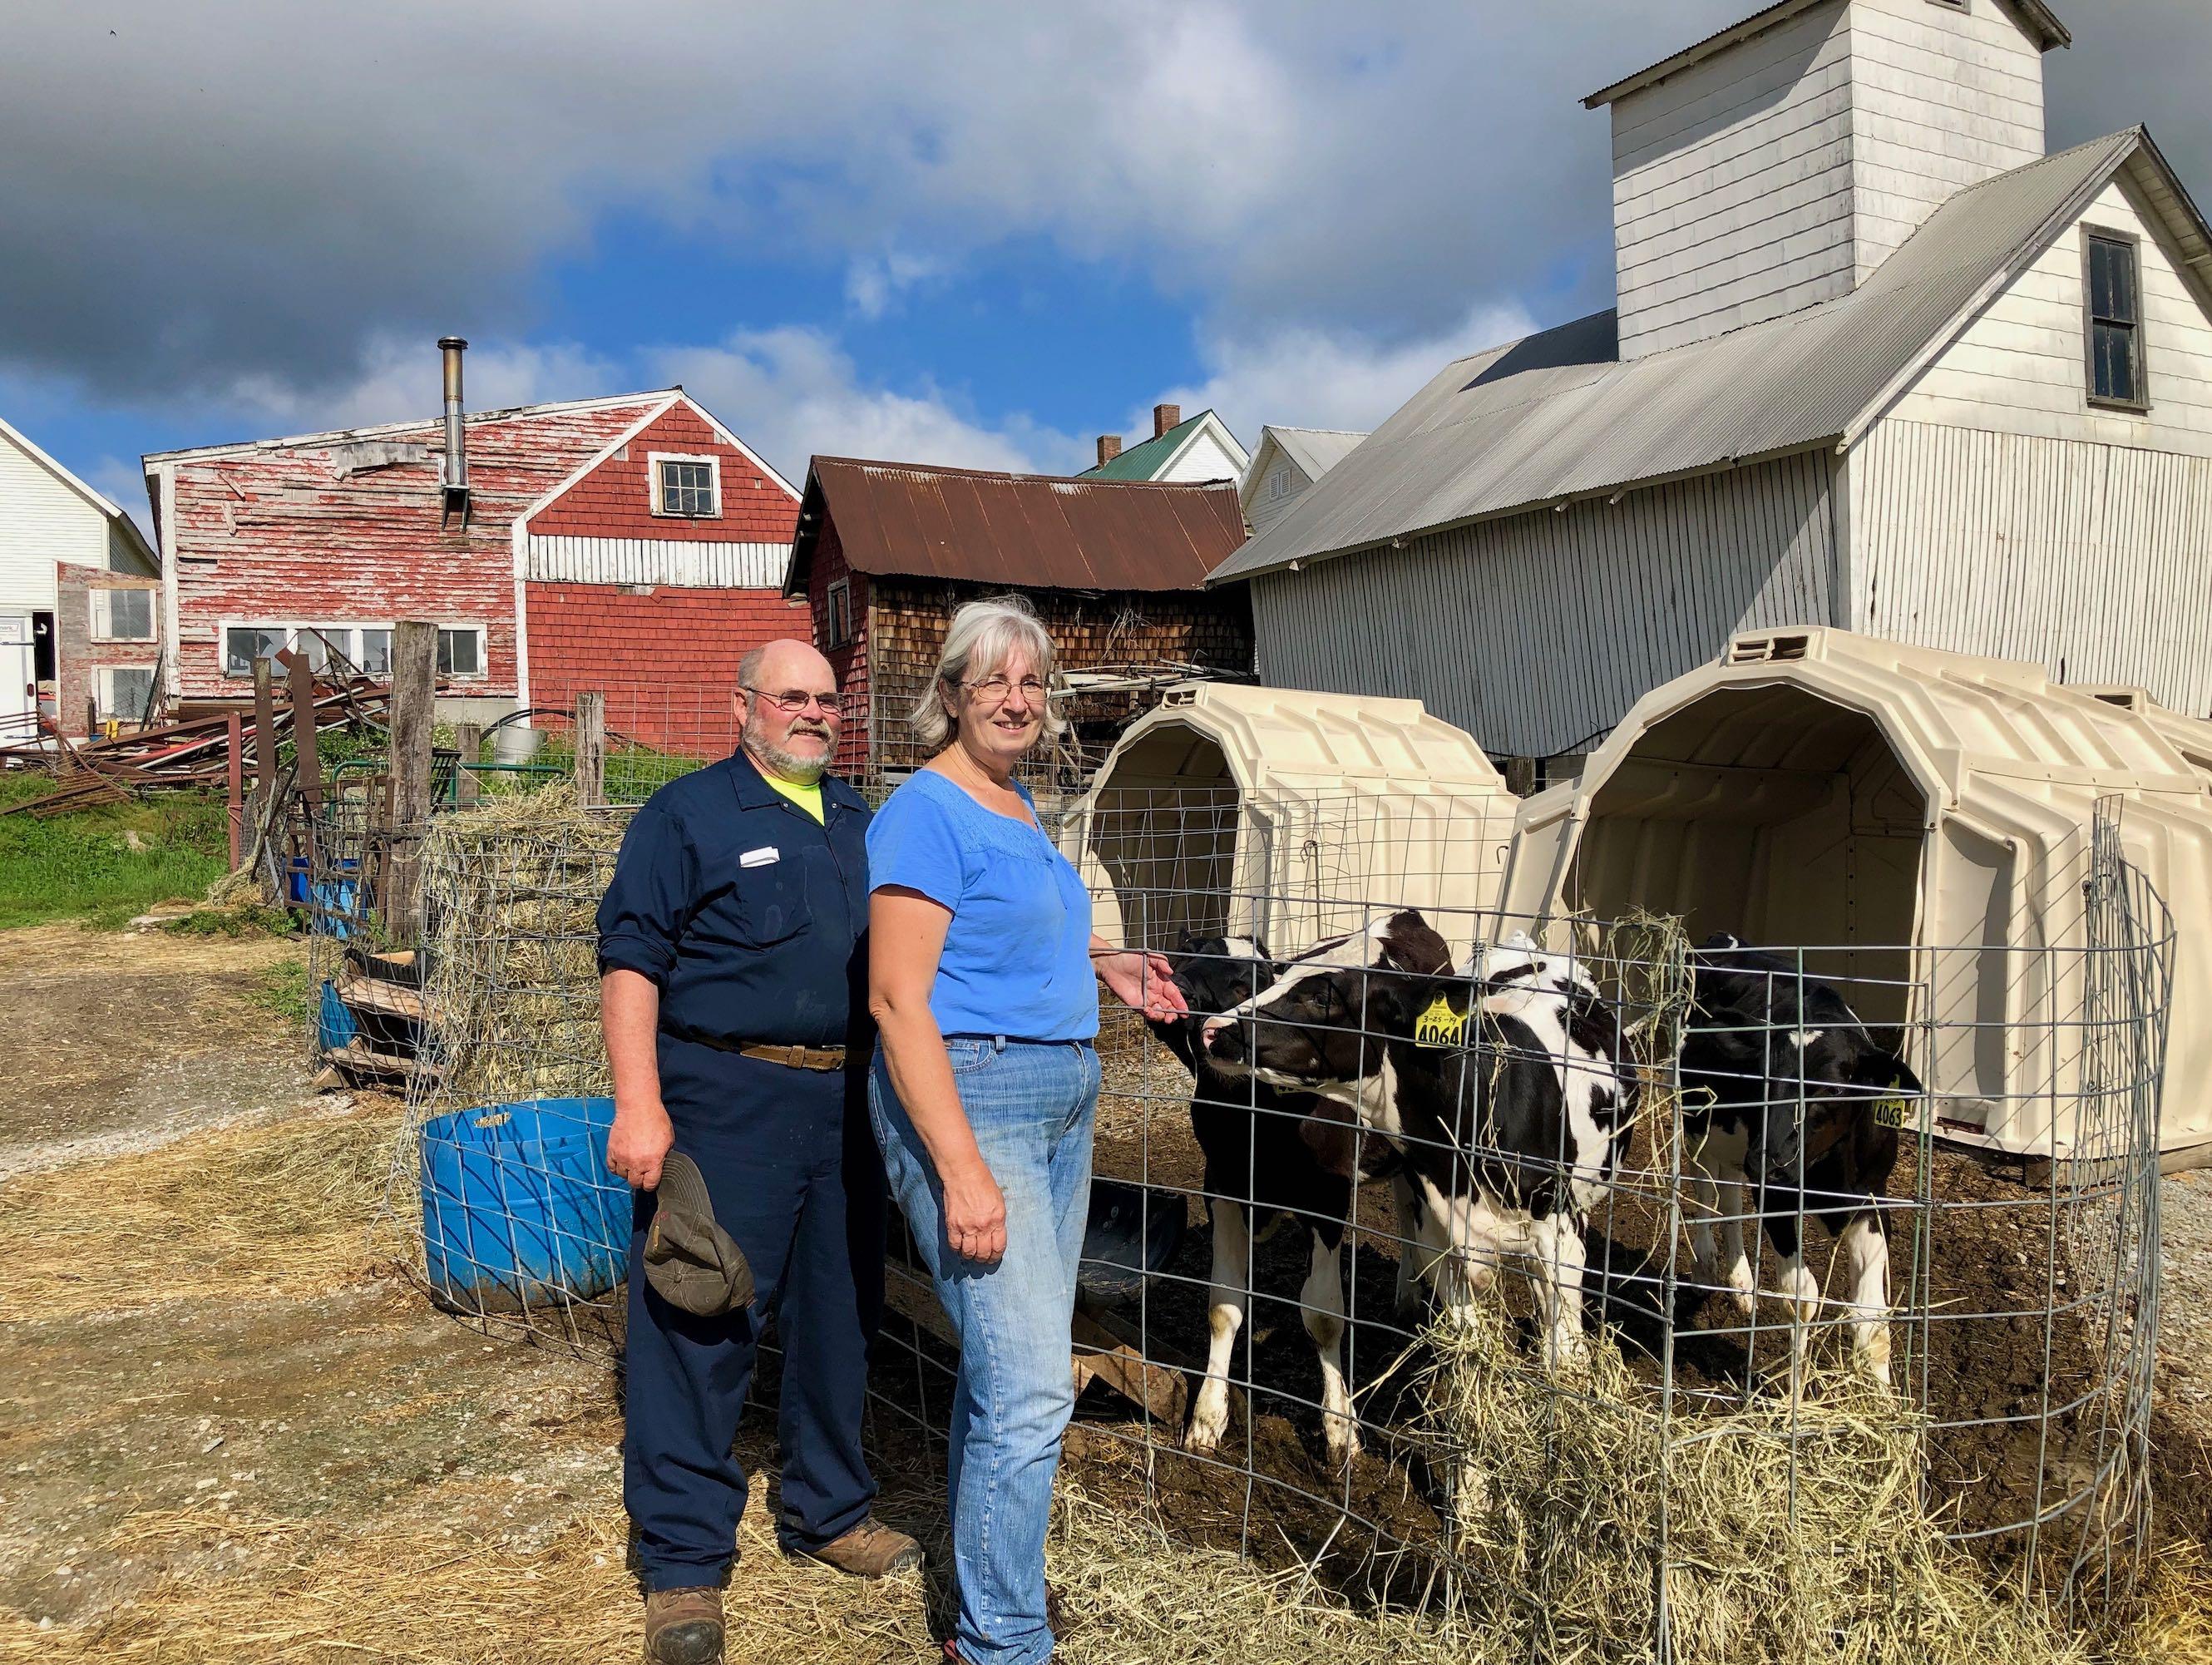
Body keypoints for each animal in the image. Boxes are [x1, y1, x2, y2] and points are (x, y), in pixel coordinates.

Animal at [1141, 941, 1380, 1459]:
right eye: (1189, 958)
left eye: (1243, 984)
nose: (1178, 988)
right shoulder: (1222, 1186)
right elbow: (1224, 1304)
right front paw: (1208, 1415)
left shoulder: (1328, 1199)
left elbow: (1324, 1314)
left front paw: (1340, 1428)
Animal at [1203, 911, 1637, 1361]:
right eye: (1281, 973)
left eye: (1322, 998)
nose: (1214, 1030)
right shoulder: (1439, 1237)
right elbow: (1470, 1338)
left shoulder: (1562, 1240)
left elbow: (1564, 1351)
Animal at [1681, 928, 1928, 1380]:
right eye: (1761, 1075)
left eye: (1832, 1088)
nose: (1769, 1160)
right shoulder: (1776, 1195)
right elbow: (1801, 1298)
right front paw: (1795, 1387)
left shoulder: (1871, 1197)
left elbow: (1870, 1317)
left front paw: (1883, 1391)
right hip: (1697, 1122)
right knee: (1706, 1190)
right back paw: (1706, 1266)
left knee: (1730, 1195)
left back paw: (1741, 1284)